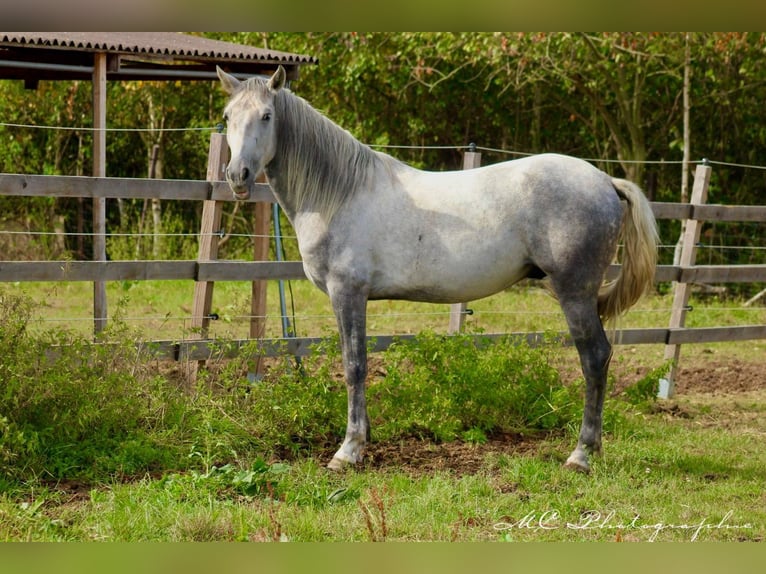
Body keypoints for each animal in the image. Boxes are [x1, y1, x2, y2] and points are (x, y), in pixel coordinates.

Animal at [216, 65, 660, 474]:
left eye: (267, 116)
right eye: (227, 116)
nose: (237, 176)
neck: (340, 192)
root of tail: (604, 179)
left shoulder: (348, 292)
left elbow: (354, 366)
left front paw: (348, 450)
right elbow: (355, 363)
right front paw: (364, 439)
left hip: (575, 293)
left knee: (595, 358)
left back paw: (581, 454)